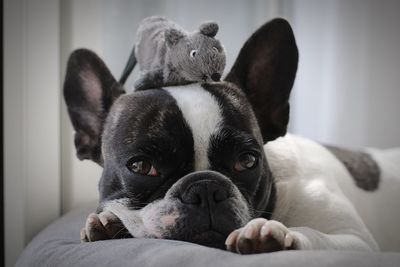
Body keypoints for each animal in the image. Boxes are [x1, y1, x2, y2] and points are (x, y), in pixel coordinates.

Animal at [62, 18, 396, 253]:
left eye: (247, 161)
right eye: (142, 166)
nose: (206, 188)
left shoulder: (355, 239)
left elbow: (316, 236)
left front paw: (276, 235)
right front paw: (106, 223)